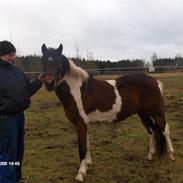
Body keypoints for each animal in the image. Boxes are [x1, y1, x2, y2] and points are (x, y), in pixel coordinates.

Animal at [40, 43, 175, 182]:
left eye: (58, 63)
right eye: (43, 61)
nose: (49, 83)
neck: (77, 90)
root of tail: (155, 81)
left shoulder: (80, 123)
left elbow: (82, 148)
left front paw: (80, 173)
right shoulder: (84, 123)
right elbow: (87, 143)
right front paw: (87, 165)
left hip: (157, 112)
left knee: (165, 129)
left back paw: (170, 155)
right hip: (143, 114)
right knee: (152, 131)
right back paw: (150, 156)